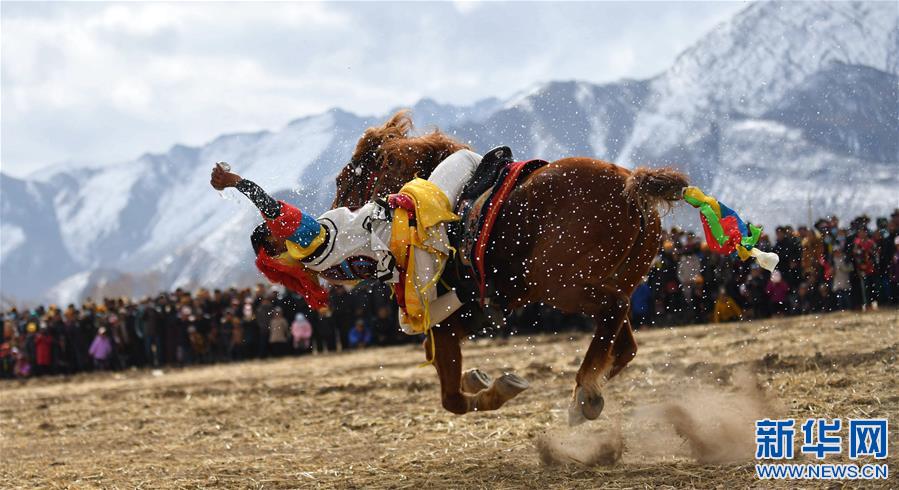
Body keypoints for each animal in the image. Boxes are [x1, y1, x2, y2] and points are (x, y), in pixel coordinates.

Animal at [330, 111, 688, 424]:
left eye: (343, 180)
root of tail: (631, 184)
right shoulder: (467, 315)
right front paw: (478, 378)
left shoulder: (445, 322)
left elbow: (452, 398)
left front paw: (495, 388)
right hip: (613, 280)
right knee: (624, 343)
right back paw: (586, 395)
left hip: (558, 284)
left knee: (615, 309)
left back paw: (585, 391)